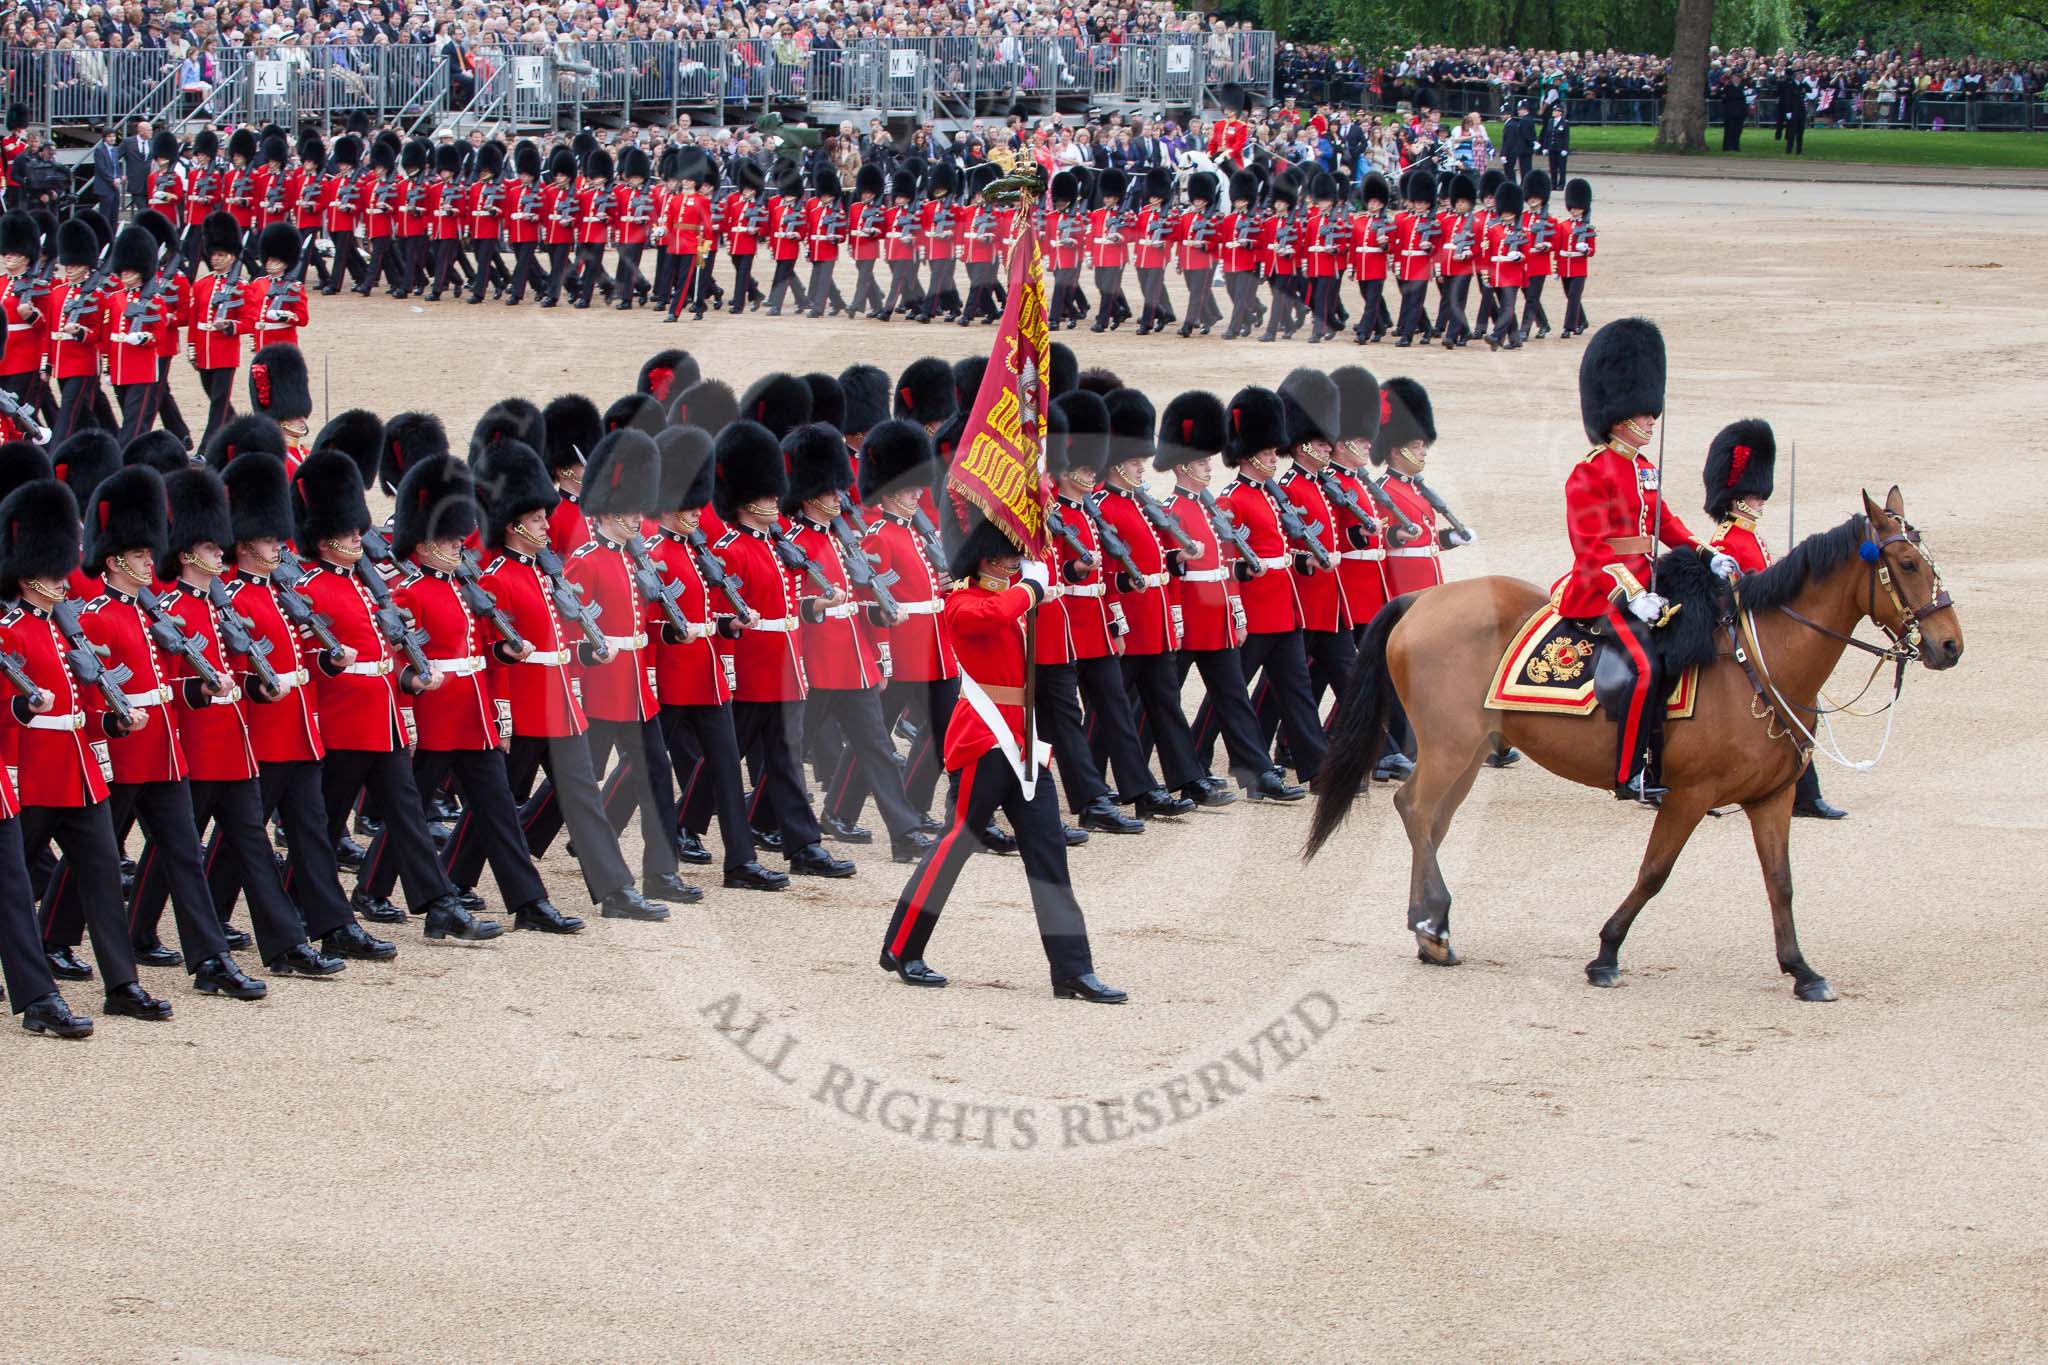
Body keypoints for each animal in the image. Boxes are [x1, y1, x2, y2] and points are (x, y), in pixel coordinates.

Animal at [1310, 485, 1966, 998]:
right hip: (1452, 745)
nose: (1951, 645)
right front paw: (1606, 953)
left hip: (1470, 751)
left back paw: (1430, 931)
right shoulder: (1688, 794)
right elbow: (1655, 871)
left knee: (1431, 820)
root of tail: (1423, 598)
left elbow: (1780, 881)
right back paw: (1434, 926)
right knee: (1417, 809)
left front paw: (1801, 969)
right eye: (1907, 563)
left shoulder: (1771, 797)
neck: (1760, 664)